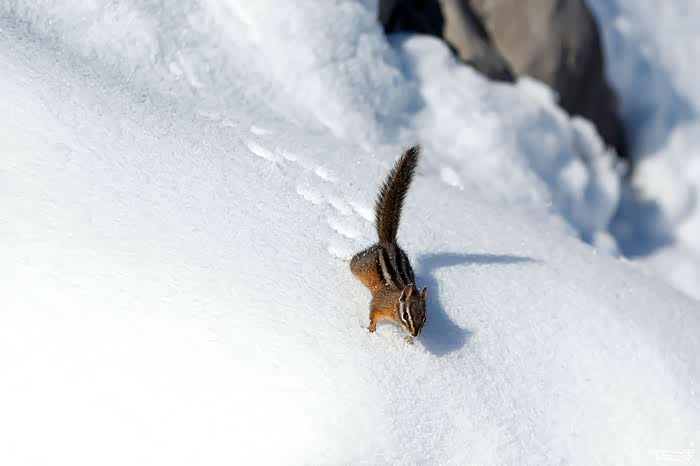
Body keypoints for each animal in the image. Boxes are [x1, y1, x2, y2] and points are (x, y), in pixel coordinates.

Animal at [350, 145, 427, 344]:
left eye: (424, 318)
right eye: (406, 315)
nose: (415, 333)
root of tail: (388, 242)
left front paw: (409, 341)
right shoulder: (379, 303)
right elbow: (372, 314)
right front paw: (370, 330)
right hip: (361, 264)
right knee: (353, 261)